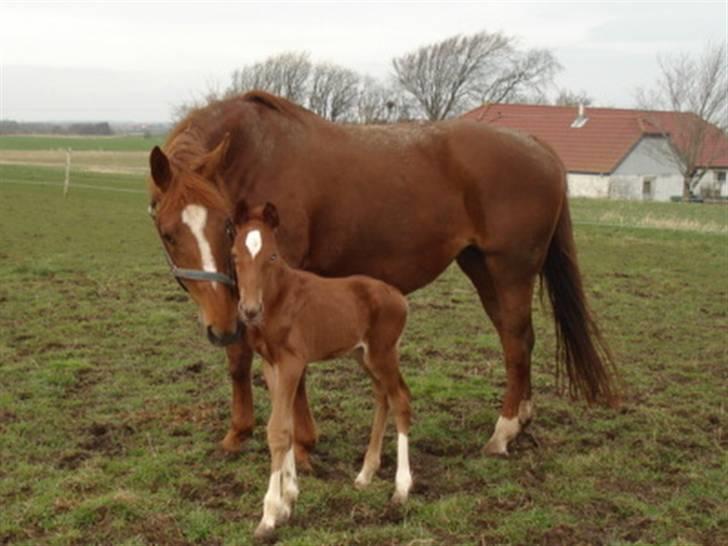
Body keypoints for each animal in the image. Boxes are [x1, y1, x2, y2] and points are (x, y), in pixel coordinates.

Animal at [233, 199, 416, 536]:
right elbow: (288, 426)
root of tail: (399, 296)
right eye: (235, 255)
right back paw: (365, 474)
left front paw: (269, 515)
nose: (249, 310)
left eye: (272, 256)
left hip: (383, 353)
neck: (279, 298)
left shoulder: (292, 362)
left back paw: (401, 488)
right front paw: (289, 500)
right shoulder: (270, 364)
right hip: (363, 355)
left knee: (400, 399)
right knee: (382, 396)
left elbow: (278, 430)